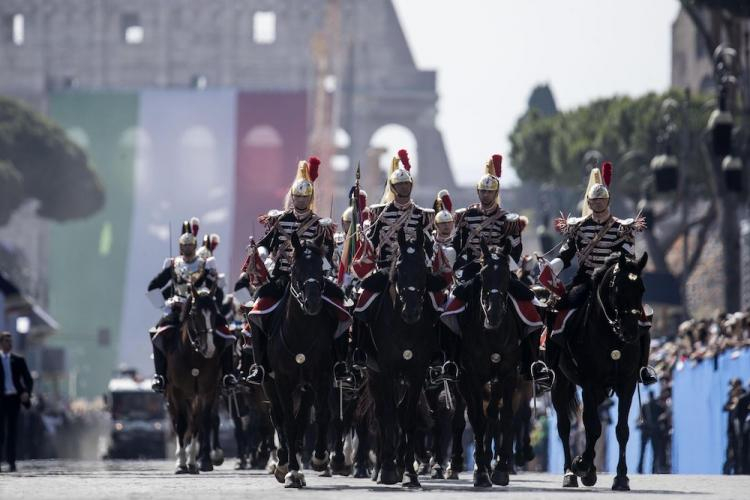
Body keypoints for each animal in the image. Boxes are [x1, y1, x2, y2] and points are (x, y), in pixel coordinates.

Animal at [167, 284, 229, 474]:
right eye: (195, 314)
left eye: (214, 314)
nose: (209, 349)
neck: (193, 356)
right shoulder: (177, 392)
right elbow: (181, 423)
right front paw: (181, 463)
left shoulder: (206, 392)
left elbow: (202, 421)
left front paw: (198, 461)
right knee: (178, 421)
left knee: (195, 421)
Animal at [262, 231, 338, 488]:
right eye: (296, 269)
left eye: (320, 267)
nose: (313, 303)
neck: (300, 333)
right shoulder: (282, 380)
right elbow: (288, 422)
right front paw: (293, 471)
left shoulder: (321, 377)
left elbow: (322, 415)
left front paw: (320, 459)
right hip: (269, 382)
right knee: (278, 417)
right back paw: (283, 462)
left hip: (305, 387)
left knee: (303, 418)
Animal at [360, 229, 444, 486]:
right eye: (398, 268)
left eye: (423, 269)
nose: (412, 311)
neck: (405, 327)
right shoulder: (386, 370)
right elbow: (388, 417)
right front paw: (387, 470)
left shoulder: (417, 372)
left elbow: (407, 419)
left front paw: (409, 473)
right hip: (375, 376)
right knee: (381, 415)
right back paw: (380, 468)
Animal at [450, 240, 524, 486]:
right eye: (482, 273)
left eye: (507, 275)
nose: (494, 313)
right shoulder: (471, 376)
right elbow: (477, 419)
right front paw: (481, 472)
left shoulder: (508, 374)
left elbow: (504, 417)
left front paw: (500, 469)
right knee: (463, 417)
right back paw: (458, 463)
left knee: (491, 415)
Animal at [548, 252, 648, 490]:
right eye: (619, 289)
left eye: (641, 289)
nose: (631, 331)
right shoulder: (590, 383)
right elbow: (592, 427)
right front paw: (582, 465)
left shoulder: (627, 384)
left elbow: (621, 430)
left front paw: (621, 477)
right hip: (561, 384)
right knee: (565, 427)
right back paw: (570, 472)